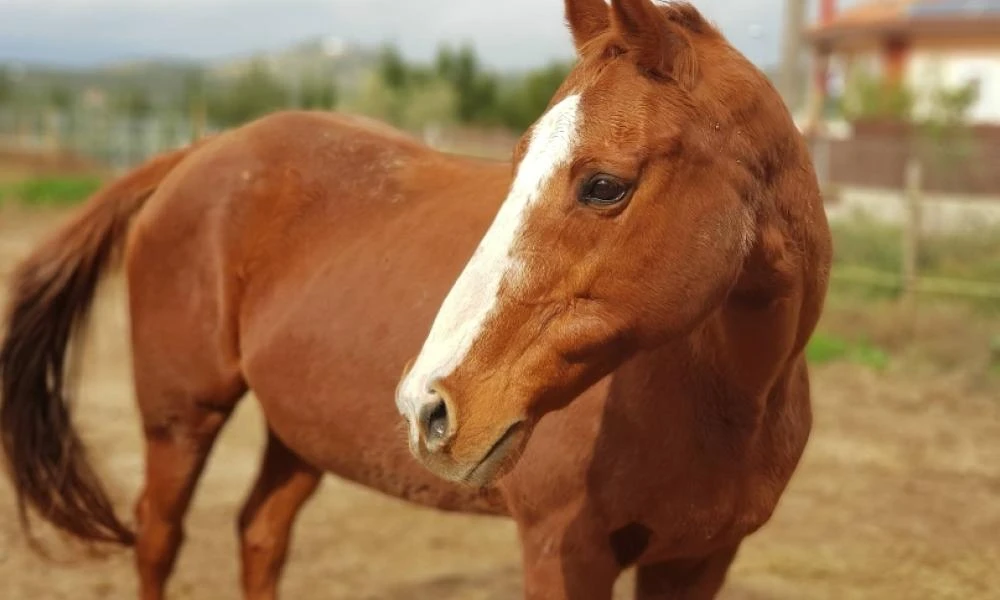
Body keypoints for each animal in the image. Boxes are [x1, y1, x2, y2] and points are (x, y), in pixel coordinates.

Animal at [0, 1, 832, 596]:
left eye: (603, 185)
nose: (427, 405)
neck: (723, 401)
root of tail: (201, 151)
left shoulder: (697, 561)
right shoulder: (565, 550)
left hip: (298, 432)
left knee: (260, 533)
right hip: (180, 418)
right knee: (159, 538)